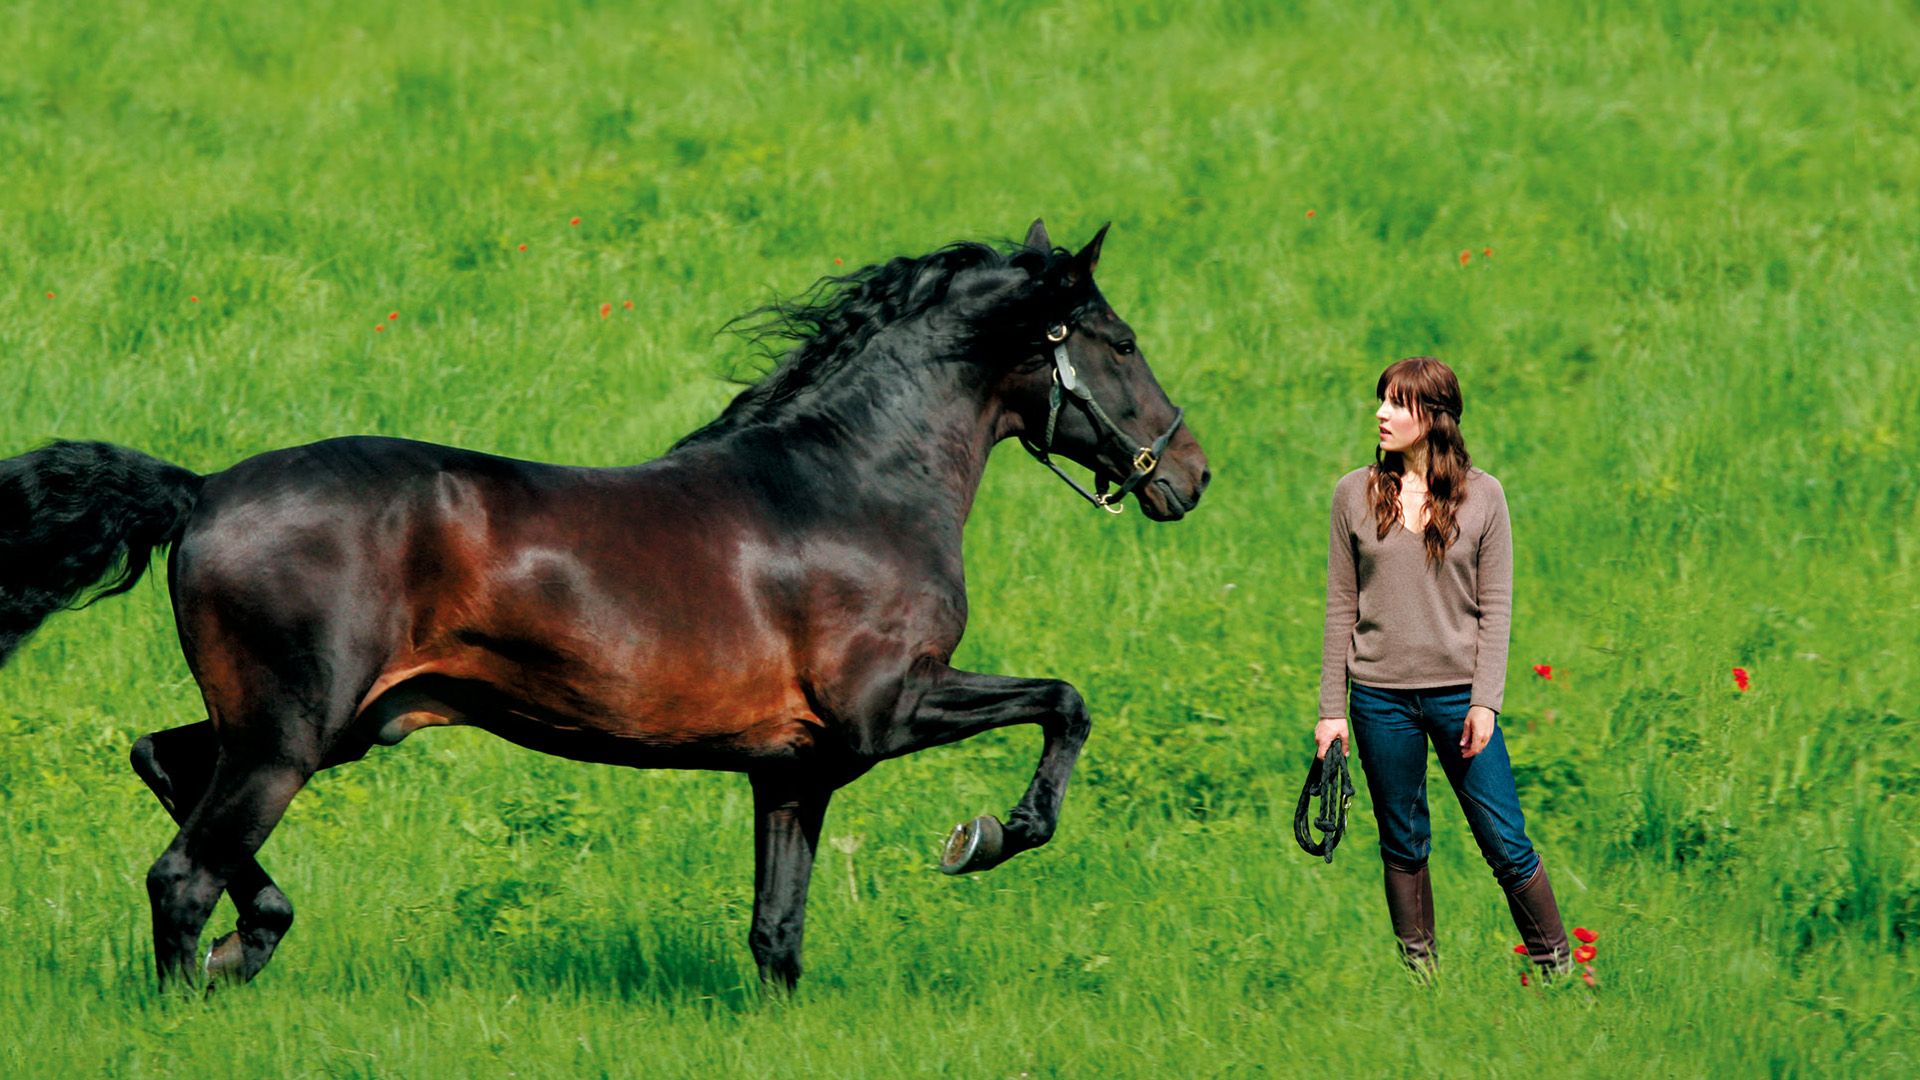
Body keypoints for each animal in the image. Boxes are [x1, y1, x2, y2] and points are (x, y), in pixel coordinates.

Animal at [0, 216, 1198, 983]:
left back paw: (248, 945)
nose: (1189, 473)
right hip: (291, 738)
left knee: (162, 763)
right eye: (1121, 342)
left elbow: (776, 937)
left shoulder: (795, 770)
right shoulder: (889, 710)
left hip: (308, 728)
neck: (854, 486)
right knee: (179, 877)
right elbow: (1066, 701)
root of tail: (201, 490)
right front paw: (987, 836)